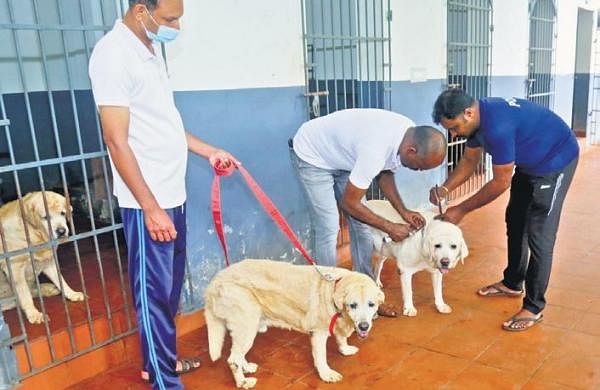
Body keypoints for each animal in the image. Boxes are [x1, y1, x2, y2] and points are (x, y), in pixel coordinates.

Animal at [0, 191, 84, 322]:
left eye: (62, 213)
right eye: (46, 217)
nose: (61, 231)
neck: (35, 234)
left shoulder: (48, 262)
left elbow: (61, 280)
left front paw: (72, 293)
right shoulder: (15, 270)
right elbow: (25, 295)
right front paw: (33, 314)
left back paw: (48, 289)